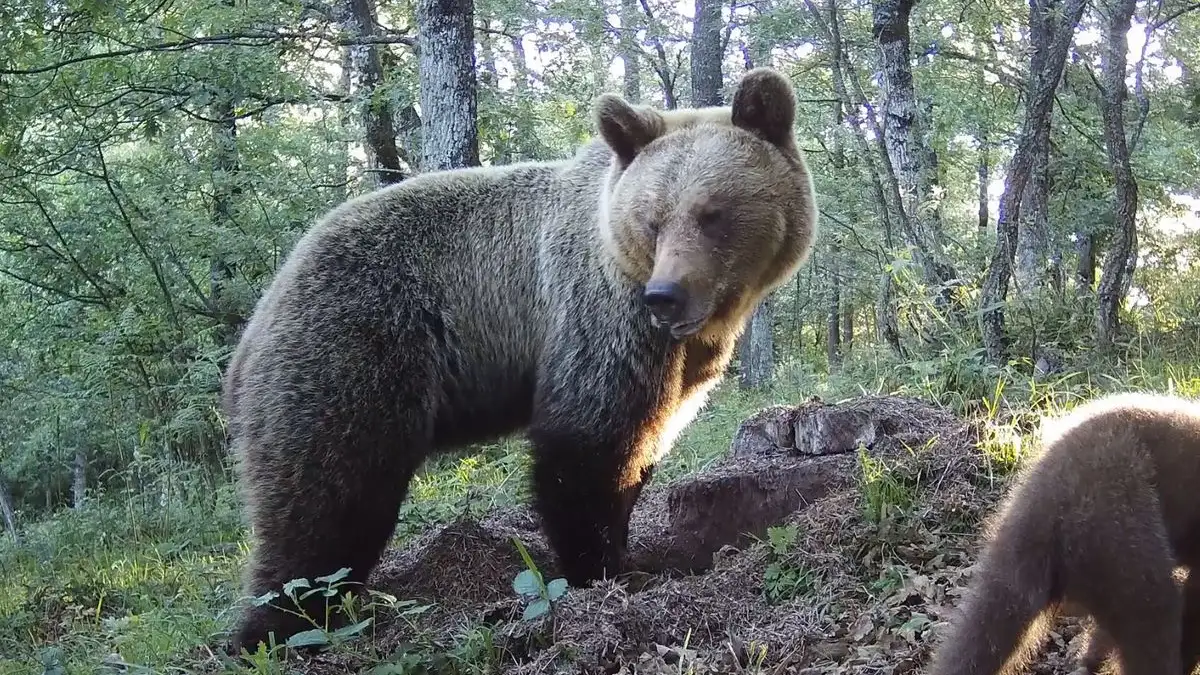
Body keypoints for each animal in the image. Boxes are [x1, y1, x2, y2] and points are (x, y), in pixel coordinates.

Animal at [222, 65, 820, 648]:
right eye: (653, 219)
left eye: (711, 213)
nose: (665, 295)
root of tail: (256, 325)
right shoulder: (596, 317)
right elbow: (586, 445)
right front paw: (603, 569)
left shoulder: (682, 362)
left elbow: (648, 439)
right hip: (353, 352)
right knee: (325, 502)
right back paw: (274, 628)